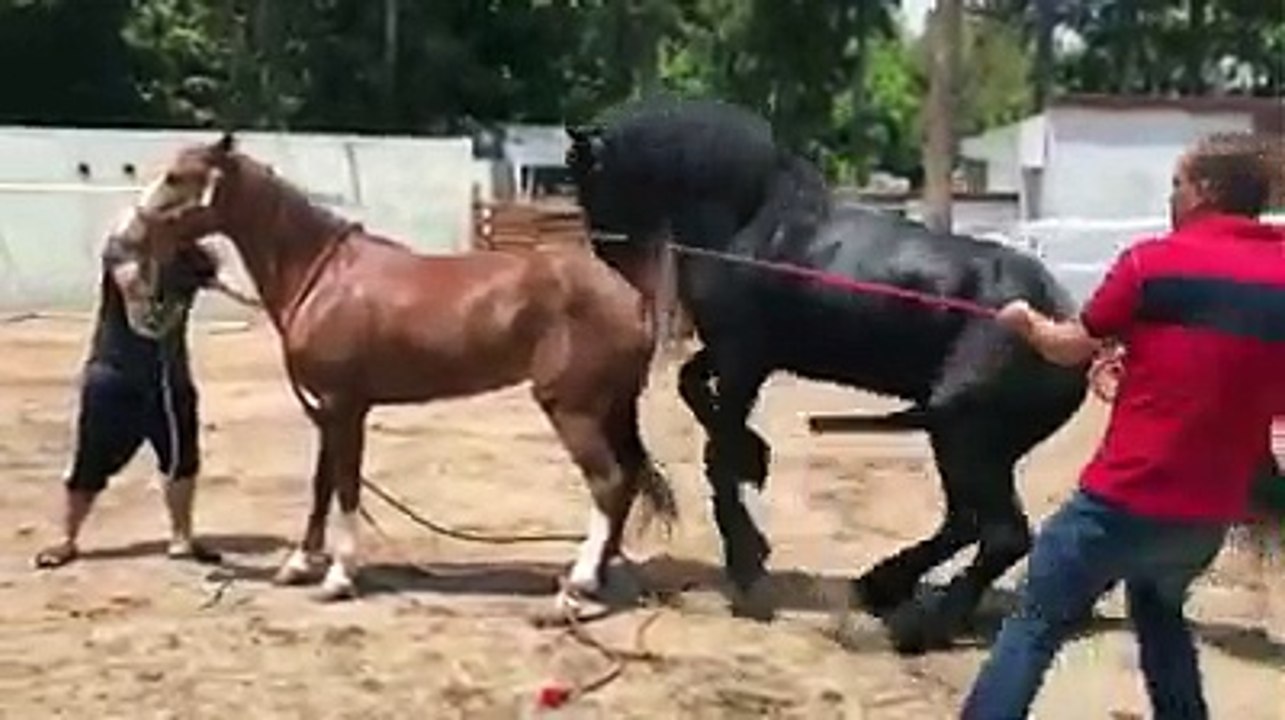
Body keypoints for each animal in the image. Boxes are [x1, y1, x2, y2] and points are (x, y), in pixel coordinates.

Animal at [118, 133, 677, 610]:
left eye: (176, 177)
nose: (127, 235)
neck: (322, 276)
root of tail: (629, 295)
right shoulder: (327, 411)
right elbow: (322, 485)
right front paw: (299, 565)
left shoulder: (345, 407)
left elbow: (346, 487)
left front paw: (339, 577)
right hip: (610, 408)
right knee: (628, 480)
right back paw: (599, 576)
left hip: (572, 409)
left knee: (607, 482)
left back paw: (579, 582)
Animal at [565, 97, 1089, 654]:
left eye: (585, 172)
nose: (604, 255)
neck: (751, 220)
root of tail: (1070, 328)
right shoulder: (740, 353)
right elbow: (693, 388)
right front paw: (756, 464)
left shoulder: (744, 358)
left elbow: (718, 454)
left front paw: (747, 563)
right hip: (972, 443)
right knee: (966, 522)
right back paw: (881, 585)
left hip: (966, 437)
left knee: (1000, 533)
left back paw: (921, 626)